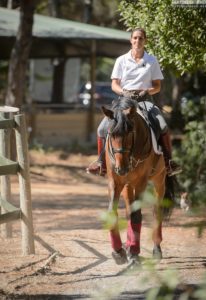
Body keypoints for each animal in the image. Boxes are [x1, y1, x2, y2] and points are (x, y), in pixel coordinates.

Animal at [102, 97, 174, 266]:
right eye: (111, 134)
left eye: (130, 132)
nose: (121, 168)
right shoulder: (115, 182)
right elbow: (113, 212)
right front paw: (119, 252)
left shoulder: (141, 182)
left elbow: (137, 215)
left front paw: (134, 254)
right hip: (128, 185)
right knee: (130, 209)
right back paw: (128, 247)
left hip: (159, 180)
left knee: (157, 210)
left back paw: (156, 249)